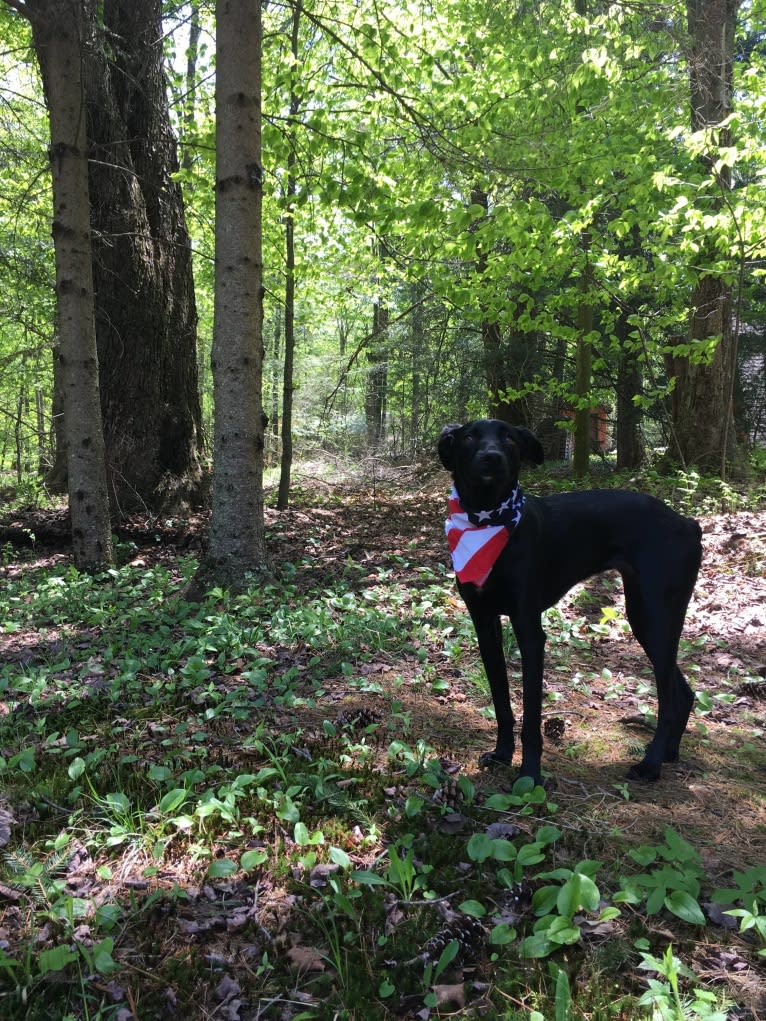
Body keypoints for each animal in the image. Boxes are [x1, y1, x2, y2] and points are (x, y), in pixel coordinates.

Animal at [441, 418, 706, 784]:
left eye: (509, 437)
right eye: (468, 437)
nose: (492, 458)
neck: (488, 517)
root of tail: (687, 523)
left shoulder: (529, 631)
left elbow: (531, 718)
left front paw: (530, 775)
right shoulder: (485, 626)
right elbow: (502, 703)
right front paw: (502, 754)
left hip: (656, 616)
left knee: (668, 698)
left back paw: (650, 764)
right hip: (647, 617)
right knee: (683, 692)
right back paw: (668, 754)